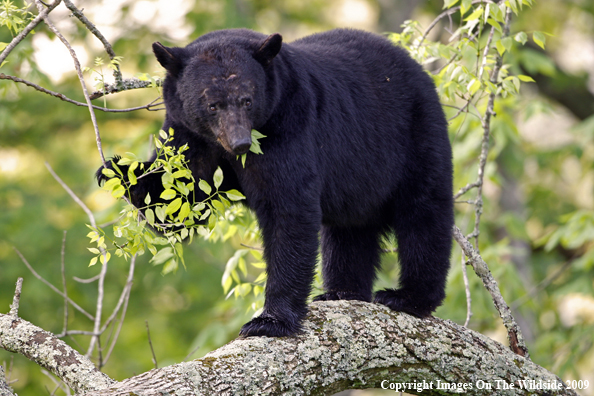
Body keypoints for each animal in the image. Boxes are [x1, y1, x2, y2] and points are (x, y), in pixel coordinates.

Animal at [97, 27, 450, 338]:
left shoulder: (289, 126)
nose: (240, 143)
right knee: (349, 230)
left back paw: (408, 297)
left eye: (247, 99)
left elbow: (288, 209)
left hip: (416, 135)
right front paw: (117, 170)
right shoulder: (187, 136)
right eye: (212, 104)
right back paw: (342, 291)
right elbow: (180, 205)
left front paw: (270, 321)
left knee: (423, 213)